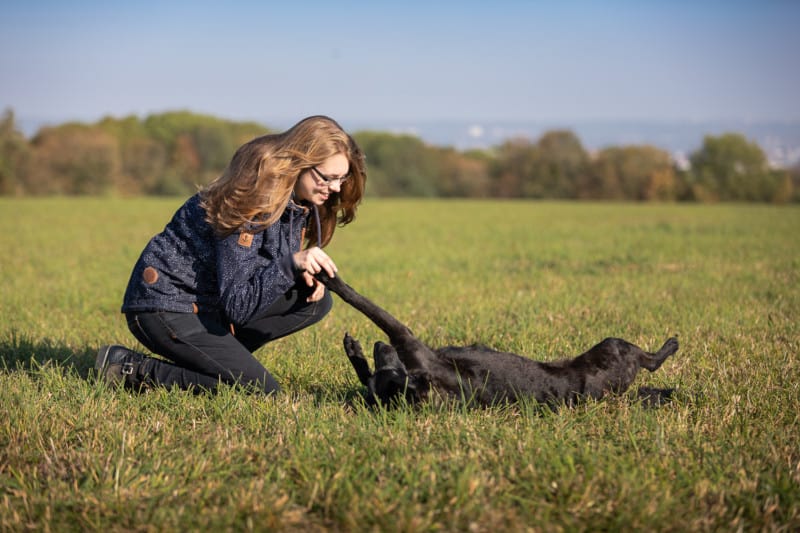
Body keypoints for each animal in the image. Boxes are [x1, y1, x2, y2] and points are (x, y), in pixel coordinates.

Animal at [316, 272, 680, 406]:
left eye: (386, 364)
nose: (379, 346)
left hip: (612, 345)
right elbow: (365, 304)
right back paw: (670, 346)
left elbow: (363, 304)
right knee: (650, 361)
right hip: (613, 346)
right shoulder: (403, 341)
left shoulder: (403, 341)